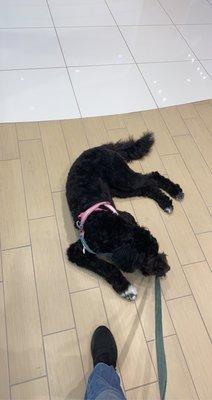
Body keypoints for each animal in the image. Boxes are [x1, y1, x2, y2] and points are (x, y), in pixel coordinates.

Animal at [66, 133, 184, 302]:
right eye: (148, 258)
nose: (167, 267)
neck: (108, 226)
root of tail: (102, 147)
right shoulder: (77, 251)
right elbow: (107, 266)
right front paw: (126, 289)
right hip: (119, 188)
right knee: (147, 186)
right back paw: (166, 201)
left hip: (122, 179)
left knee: (151, 177)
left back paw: (174, 192)